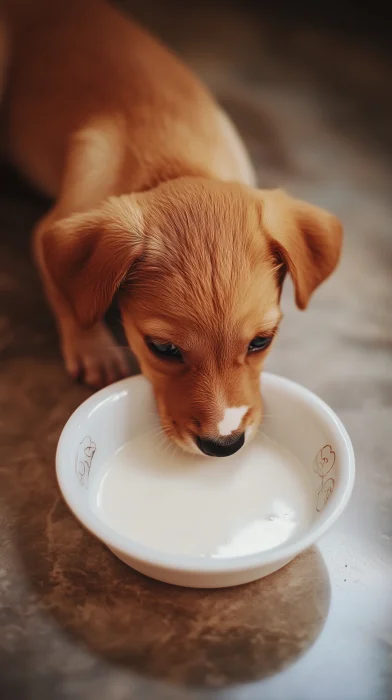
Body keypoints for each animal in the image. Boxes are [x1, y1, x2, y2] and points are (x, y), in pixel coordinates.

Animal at [0, 0, 344, 456]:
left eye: (262, 341)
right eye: (163, 349)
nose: (224, 445)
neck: (175, 158)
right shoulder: (48, 231)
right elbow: (74, 299)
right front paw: (95, 350)